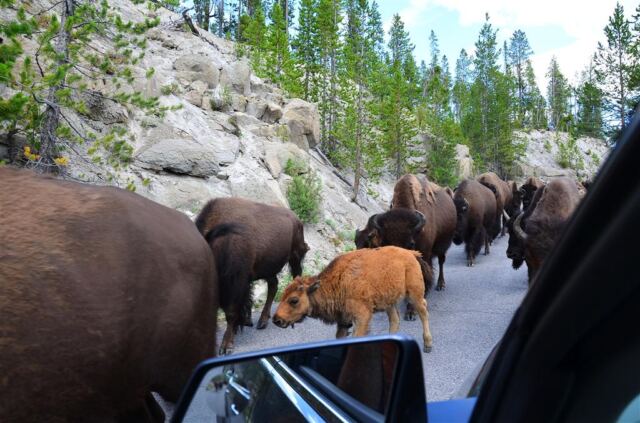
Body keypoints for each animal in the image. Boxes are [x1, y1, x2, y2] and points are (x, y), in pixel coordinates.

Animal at [195, 197, 309, 355]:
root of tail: (296, 219)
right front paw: (245, 323)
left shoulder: (236, 285)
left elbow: (231, 312)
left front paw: (226, 346)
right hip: (268, 268)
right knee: (273, 285)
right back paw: (262, 321)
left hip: (295, 257)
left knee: (296, 278)